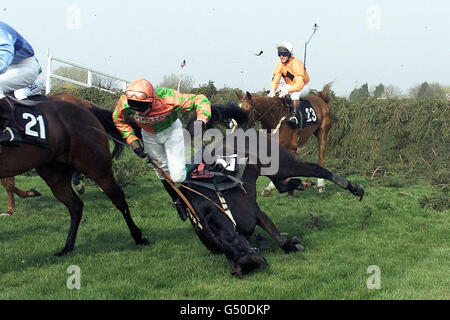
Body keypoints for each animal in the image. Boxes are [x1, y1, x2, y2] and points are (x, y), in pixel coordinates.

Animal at [0, 94, 149, 256]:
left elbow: (8, 184)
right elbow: (8, 183)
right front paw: (24, 198)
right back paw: (67, 248)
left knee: (118, 198)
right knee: (75, 205)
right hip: (54, 174)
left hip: (96, 166)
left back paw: (139, 237)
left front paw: (12, 208)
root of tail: (87, 109)